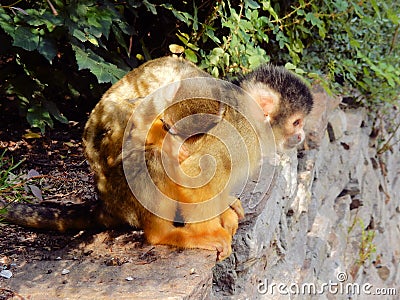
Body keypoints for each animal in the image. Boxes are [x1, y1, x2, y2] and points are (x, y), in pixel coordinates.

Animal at [0, 56, 312, 260]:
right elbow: (195, 177)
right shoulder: (236, 134)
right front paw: (209, 230)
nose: (302, 136)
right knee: (153, 157)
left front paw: (225, 210)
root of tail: (106, 203)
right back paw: (163, 234)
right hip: (122, 192)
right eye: (296, 122)